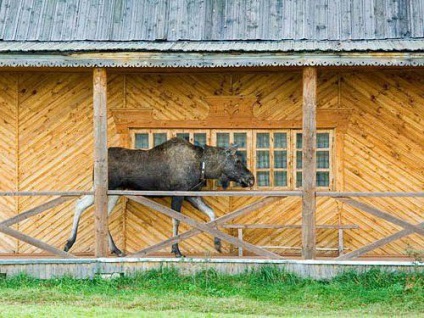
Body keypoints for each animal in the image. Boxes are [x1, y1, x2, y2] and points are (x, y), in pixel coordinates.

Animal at [63, 138, 255, 258]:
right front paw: (176, 250)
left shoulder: (191, 194)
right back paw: (70, 243)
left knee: (92, 209)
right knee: (81, 205)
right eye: (237, 160)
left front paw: (217, 243)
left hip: (114, 192)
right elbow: (176, 220)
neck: (203, 167)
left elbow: (212, 214)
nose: (251, 178)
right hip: (106, 188)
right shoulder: (178, 193)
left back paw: (114, 249)